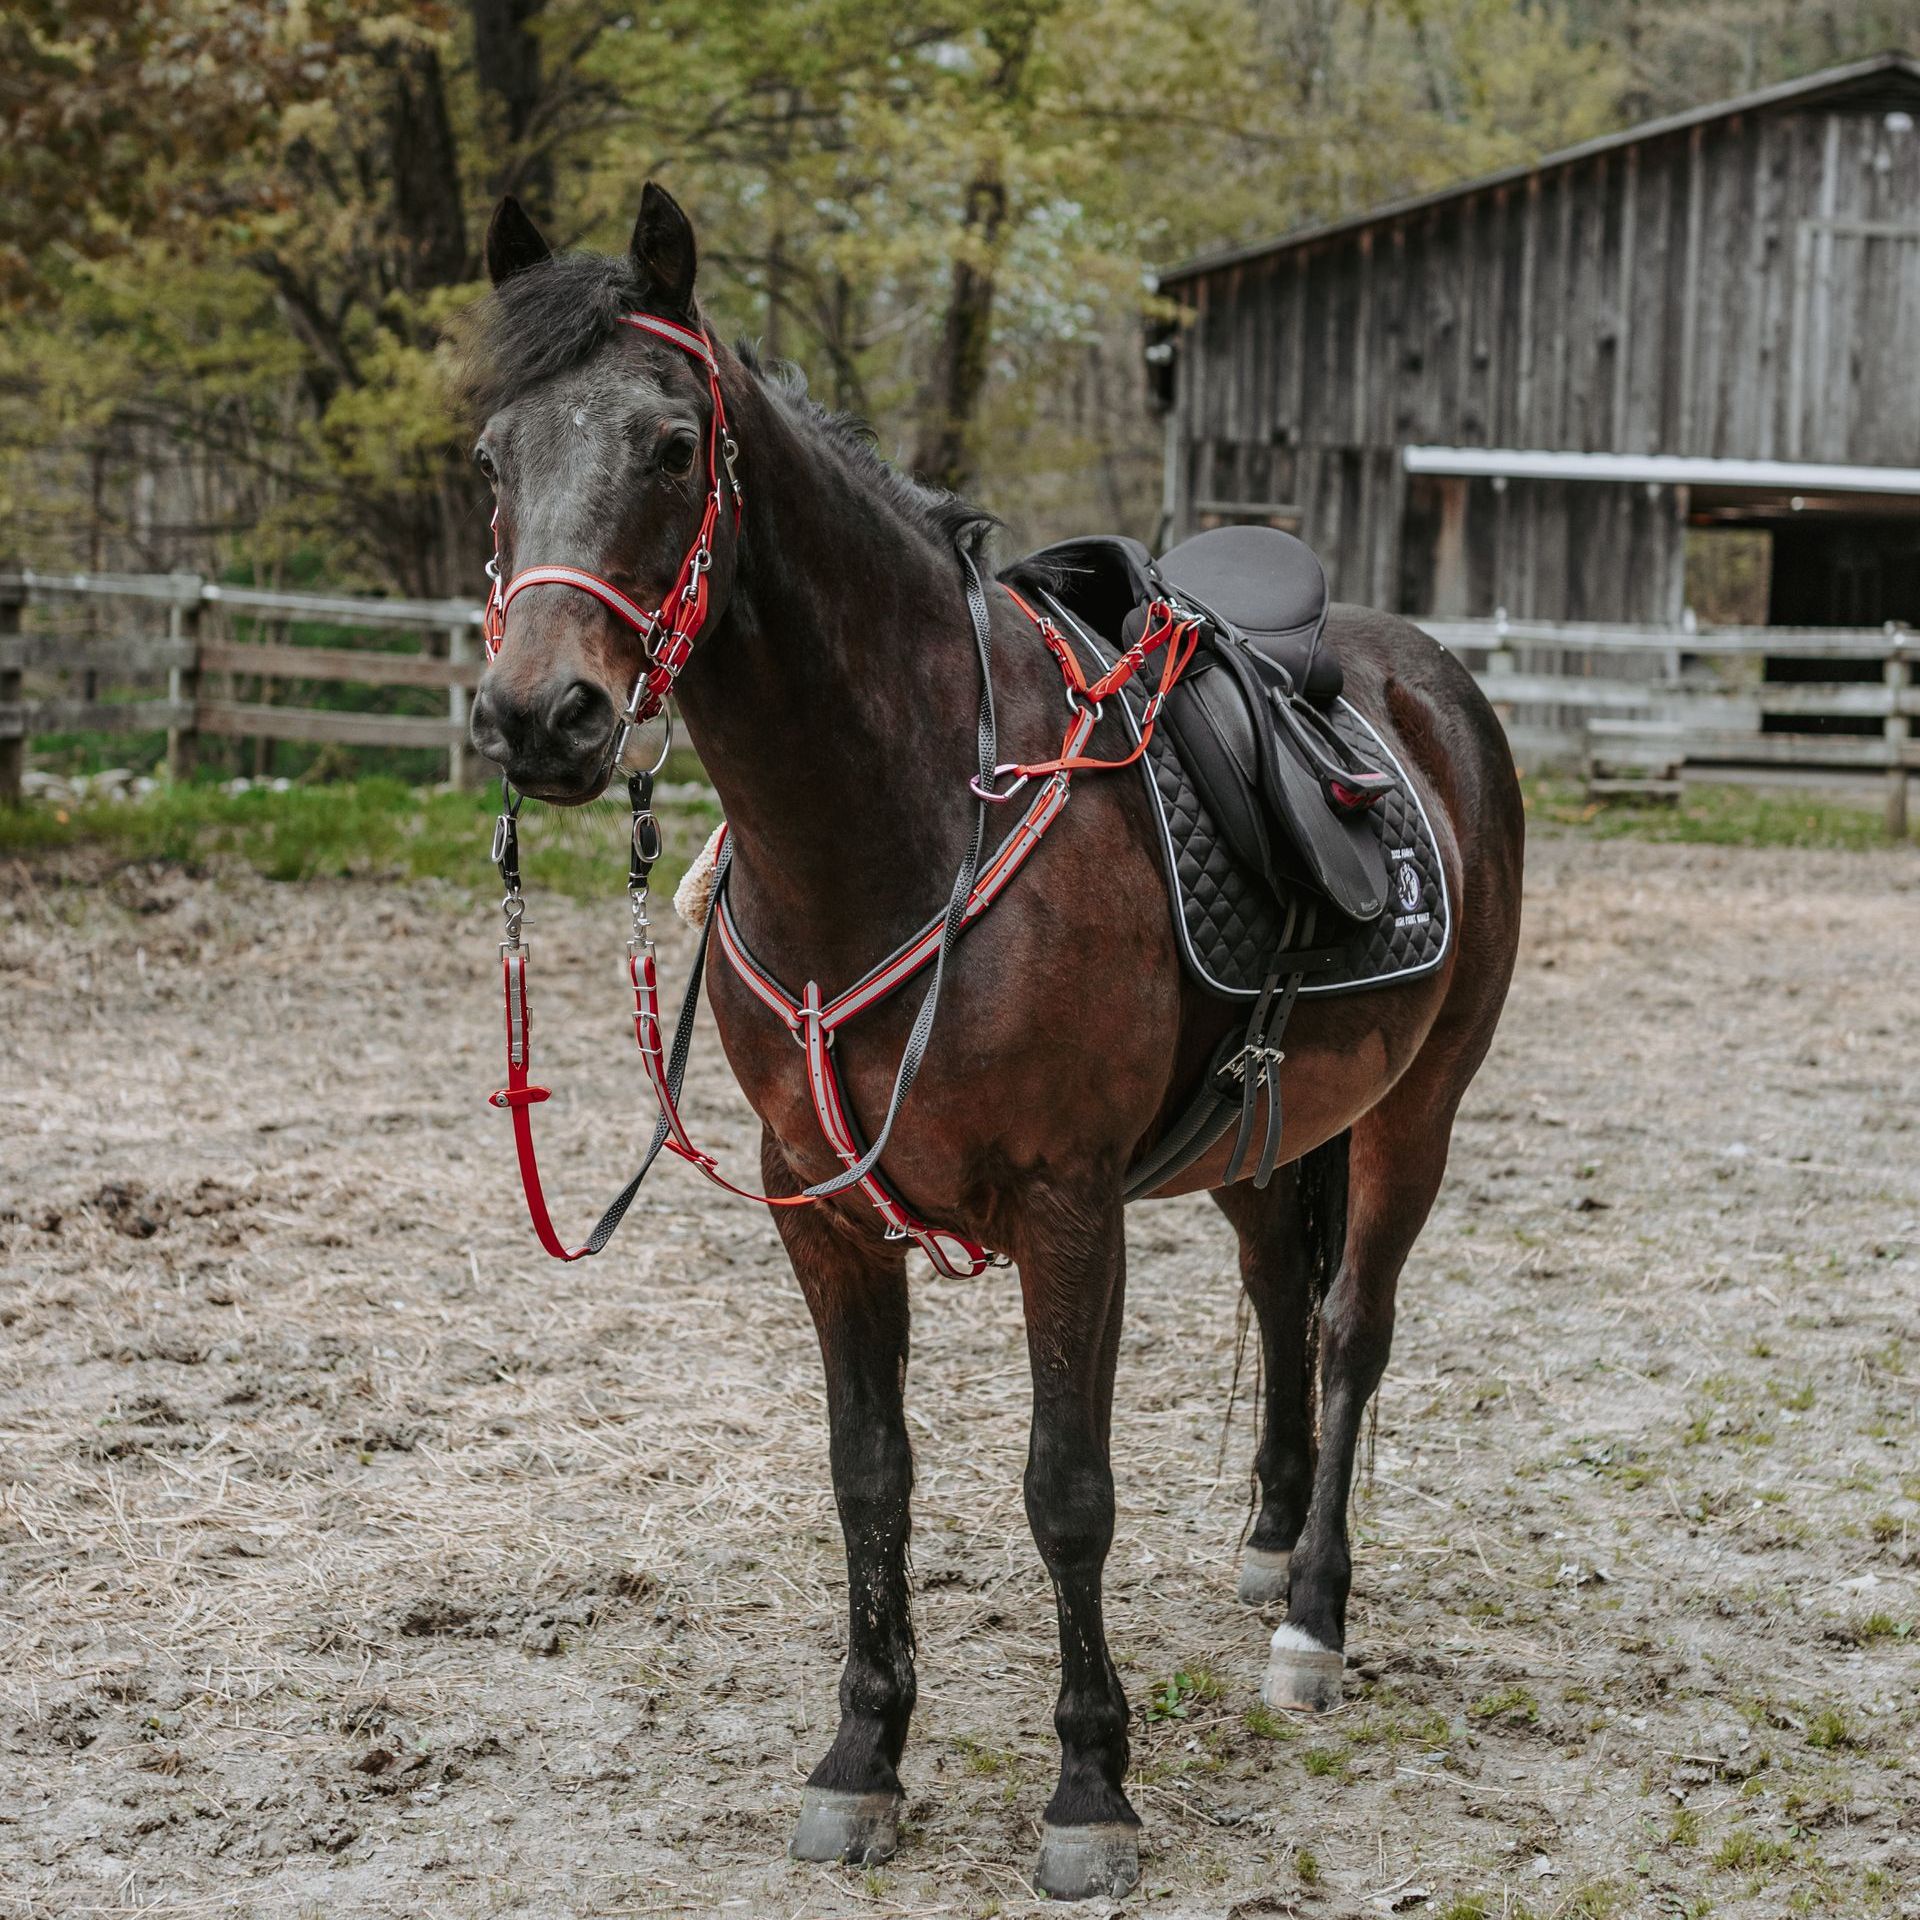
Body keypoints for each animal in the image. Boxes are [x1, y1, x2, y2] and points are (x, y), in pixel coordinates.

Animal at [465, 183, 1524, 1901]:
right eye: (494, 456)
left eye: (674, 446)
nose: (535, 717)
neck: (895, 820)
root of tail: (1425, 677)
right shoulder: (819, 1208)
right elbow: (869, 1478)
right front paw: (861, 1758)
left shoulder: (1069, 1206)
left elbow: (1065, 1491)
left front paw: (1090, 1788)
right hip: (1262, 1128)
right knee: (1279, 1294)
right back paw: (1266, 1541)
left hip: (1415, 1108)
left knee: (1353, 1325)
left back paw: (1313, 1615)